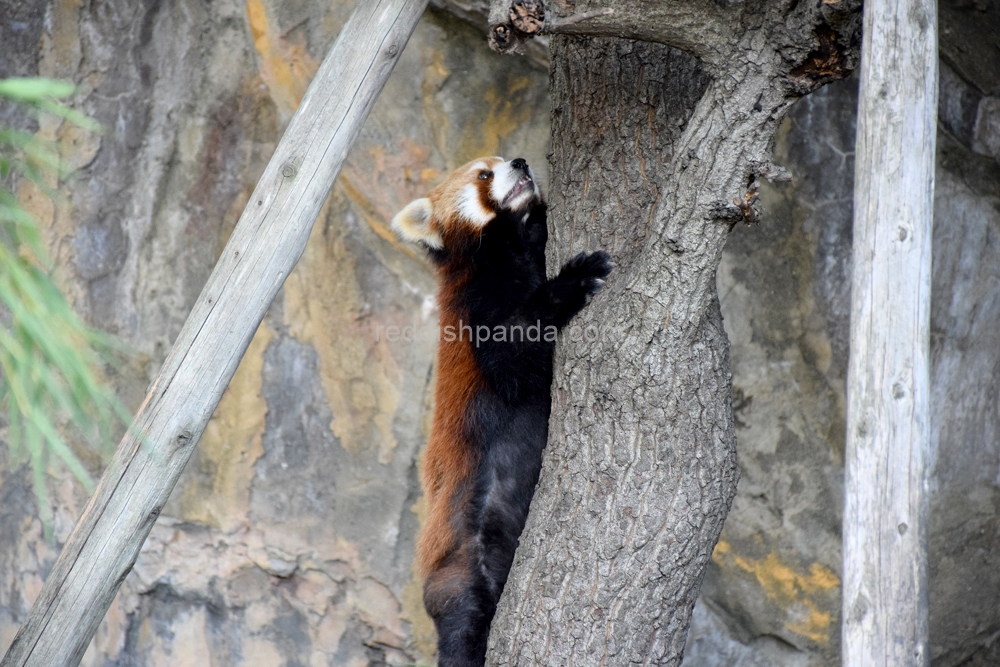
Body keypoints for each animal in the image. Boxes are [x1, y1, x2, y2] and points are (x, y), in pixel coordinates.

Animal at [390, 158, 608, 667]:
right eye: (484, 176)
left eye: (505, 158)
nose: (522, 162)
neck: (510, 248)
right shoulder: (476, 307)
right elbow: (512, 352)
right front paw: (574, 280)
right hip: (464, 567)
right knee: (465, 626)